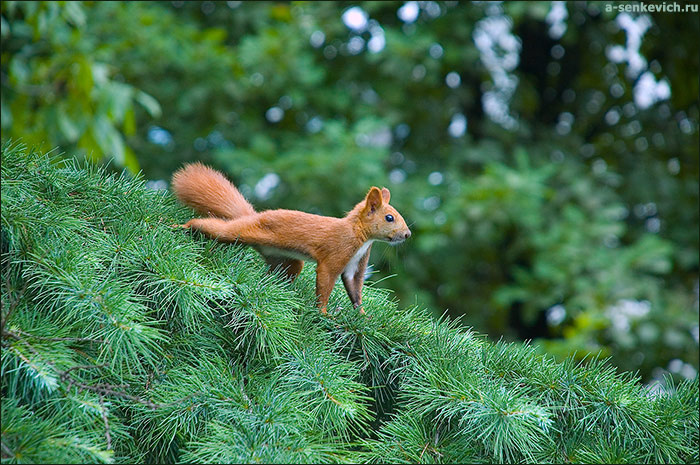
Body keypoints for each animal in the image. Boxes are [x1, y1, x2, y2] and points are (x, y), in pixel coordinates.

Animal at [171, 163, 411, 315]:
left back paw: (277, 290)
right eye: (389, 218)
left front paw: (362, 315)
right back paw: (178, 226)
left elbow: (355, 290)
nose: (407, 234)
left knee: (278, 274)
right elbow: (325, 281)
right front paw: (324, 313)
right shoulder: (337, 252)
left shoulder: (356, 264)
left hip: (288, 262)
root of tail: (253, 216)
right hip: (238, 232)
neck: (361, 236)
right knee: (212, 228)